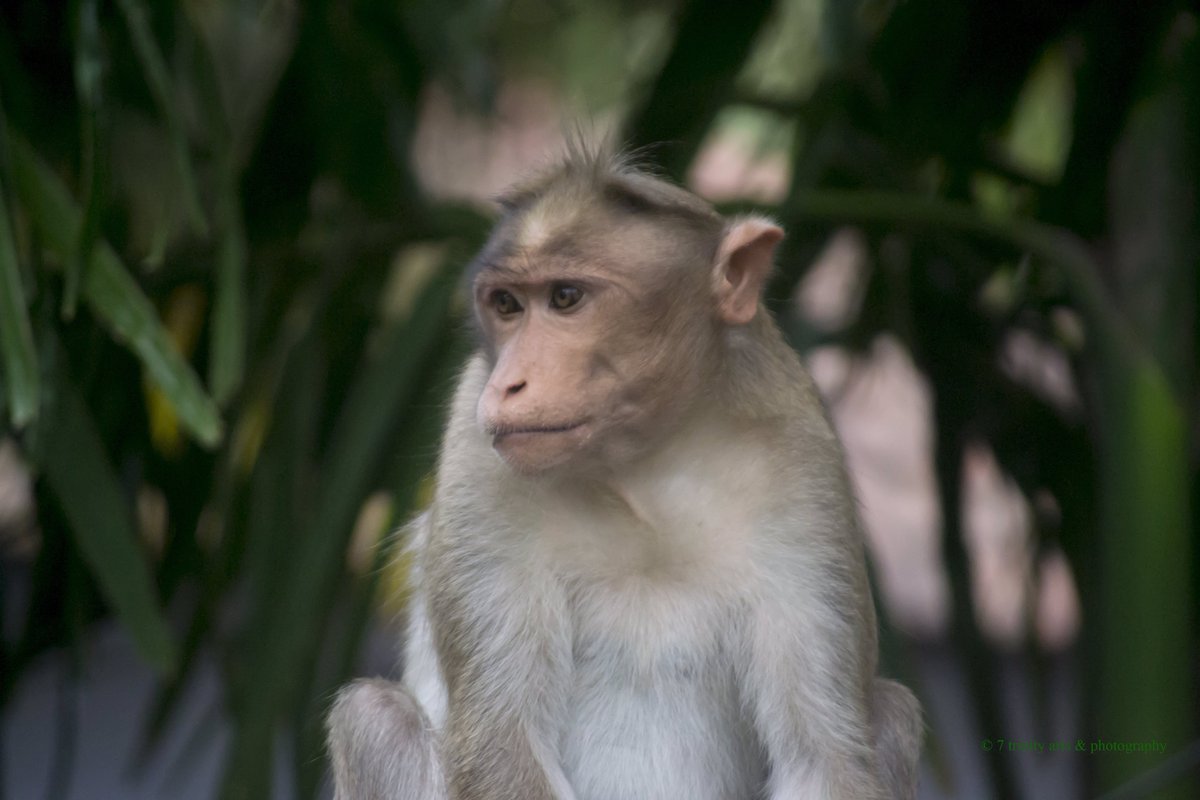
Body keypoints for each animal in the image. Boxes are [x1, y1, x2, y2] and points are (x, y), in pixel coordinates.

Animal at [327, 147, 923, 800]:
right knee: (374, 718)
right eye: (507, 305)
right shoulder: (473, 449)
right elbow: (503, 743)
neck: (642, 465)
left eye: (565, 297)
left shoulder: (805, 460)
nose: (508, 383)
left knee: (892, 710)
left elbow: (824, 756)